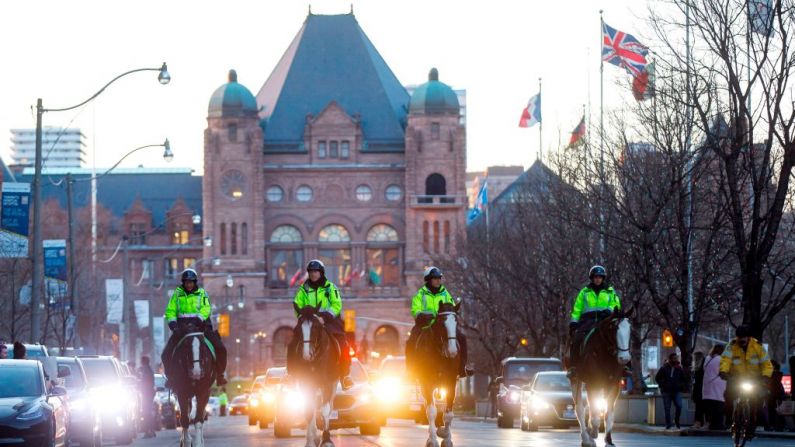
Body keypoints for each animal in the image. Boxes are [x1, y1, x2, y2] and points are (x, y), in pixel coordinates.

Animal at [568, 312, 632, 447]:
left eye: (630, 328)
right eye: (614, 328)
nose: (624, 358)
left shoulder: (614, 386)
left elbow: (608, 414)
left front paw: (608, 440)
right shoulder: (593, 384)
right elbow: (595, 415)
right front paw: (592, 434)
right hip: (576, 380)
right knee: (580, 409)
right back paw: (586, 438)